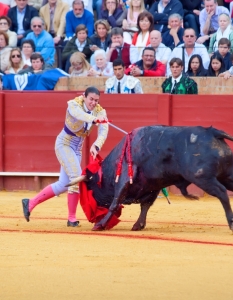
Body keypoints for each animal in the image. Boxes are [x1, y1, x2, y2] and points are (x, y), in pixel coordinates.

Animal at [78, 125, 233, 231]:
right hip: (226, 175)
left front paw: (100, 224)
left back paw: (231, 222)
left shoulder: (124, 179)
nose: (92, 217)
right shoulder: (153, 186)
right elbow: (145, 205)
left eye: (90, 186)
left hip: (202, 177)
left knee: (221, 192)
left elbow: (115, 203)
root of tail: (212, 132)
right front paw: (138, 225)